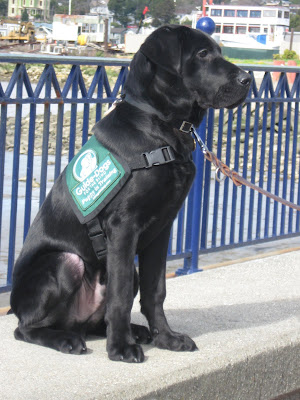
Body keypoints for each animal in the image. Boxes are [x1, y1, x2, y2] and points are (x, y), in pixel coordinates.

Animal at [9, 25, 251, 362]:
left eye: (219, 51)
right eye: (202, 54)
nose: (247, 79)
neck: (161, 127)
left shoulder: (162, 228)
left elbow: (155, 290)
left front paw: (166, 338)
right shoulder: (123, 226)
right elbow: (120, 295)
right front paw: (120, 348)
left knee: (93, 321)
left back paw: (136, 331)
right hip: (65, 262)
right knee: (26, 327)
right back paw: (66, 339)